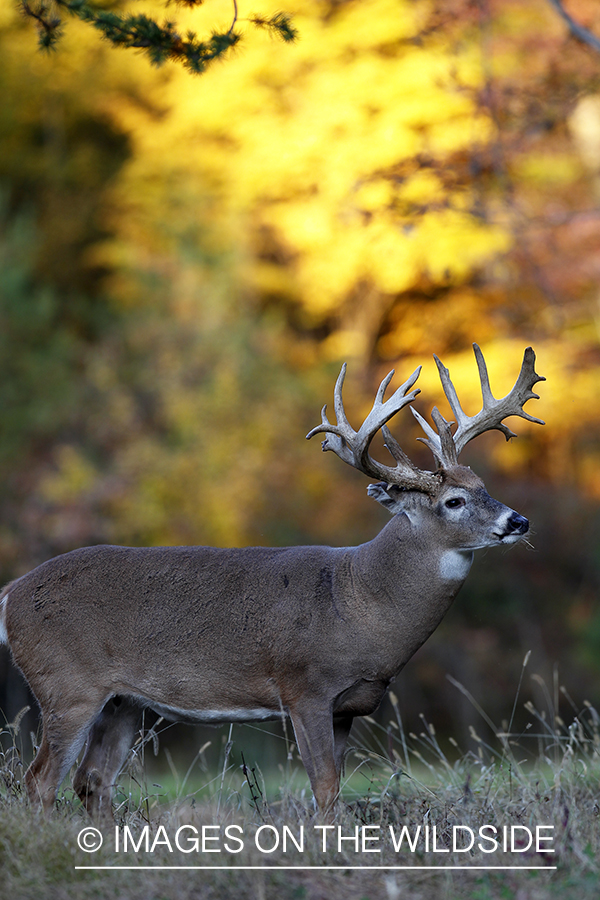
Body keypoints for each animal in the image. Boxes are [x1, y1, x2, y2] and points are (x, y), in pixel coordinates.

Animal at [0, 342, 544, 820]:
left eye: (483, 487)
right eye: (454, 501)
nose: (519, 521)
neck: (357, 600)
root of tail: (10, 595)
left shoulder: (346, 707)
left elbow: (335, 787)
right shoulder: (305, 687)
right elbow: (324, 787)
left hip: (122, 700)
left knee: (92, 780)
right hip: (66, 683)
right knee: (40, 780)